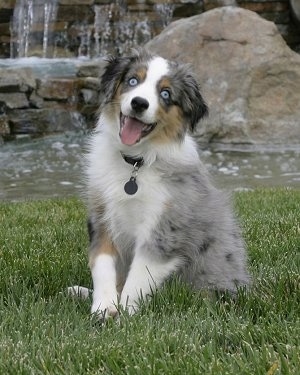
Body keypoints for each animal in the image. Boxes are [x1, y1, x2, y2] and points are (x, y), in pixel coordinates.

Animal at [81, 48, 250, 320]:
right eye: (133, 80)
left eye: (166, 94)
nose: (139, 103)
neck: (136, 164)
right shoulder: (101, 215)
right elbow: (102, 264)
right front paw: (104, 308)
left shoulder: (165, 229)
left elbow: (139, 276)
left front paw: (125, 314)